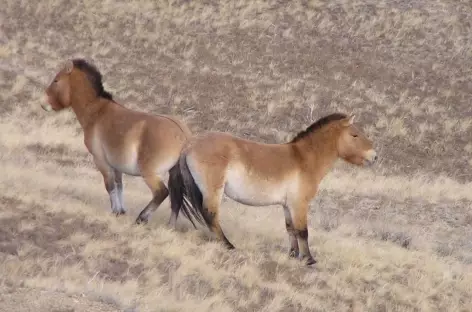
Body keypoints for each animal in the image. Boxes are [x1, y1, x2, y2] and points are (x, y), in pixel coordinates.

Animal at [42, 58, 193, 225]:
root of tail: (183, 134)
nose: (44, 104)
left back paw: (142, 217)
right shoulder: (116, 166)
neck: (97, 112)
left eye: (56, 80)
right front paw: (120, 211)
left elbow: (110, 186)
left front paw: (115, 210)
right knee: (175, 201)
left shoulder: (101, 162)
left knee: (161, 193)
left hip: (150, 174)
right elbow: (119, 186)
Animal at [168, 114, 378, 266]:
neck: (303, 159)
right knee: (210, 215)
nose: (374, 156)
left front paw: (293, 254)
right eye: (355, 134)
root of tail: (190, 144)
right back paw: (228, 245)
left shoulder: (287, 205)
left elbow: (290, 229)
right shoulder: (299, 205)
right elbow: (303, 231)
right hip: (213, 191)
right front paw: (309, 259)